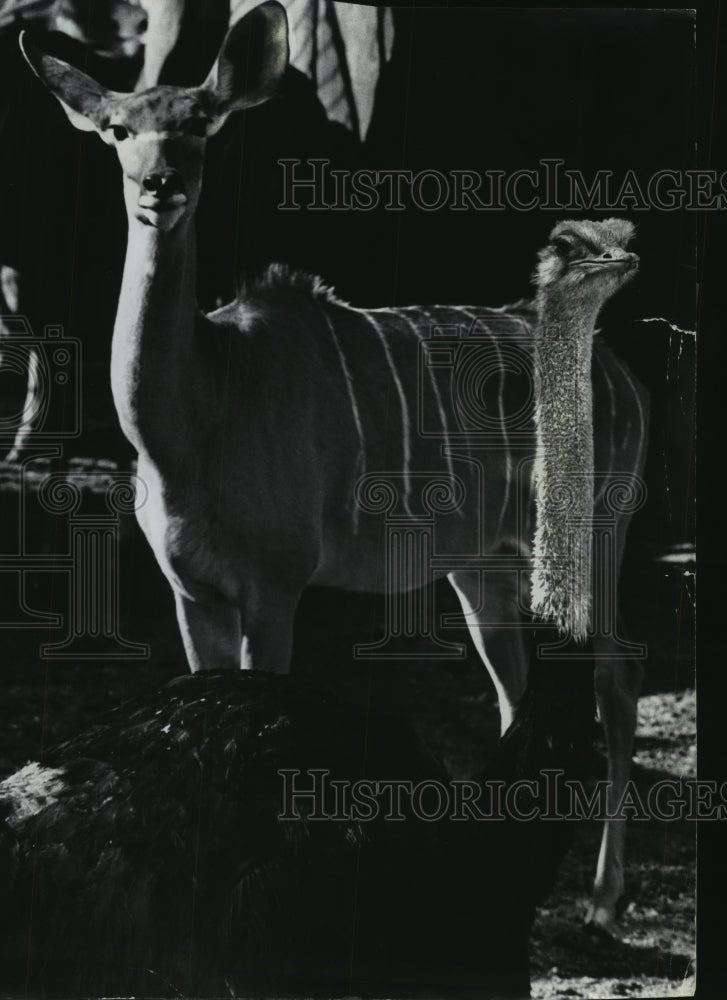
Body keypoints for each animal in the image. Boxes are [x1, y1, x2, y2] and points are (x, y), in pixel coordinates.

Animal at [19, 1, 648, 936]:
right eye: (117, 129)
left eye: (199, 123)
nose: (158, 186)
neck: (199, 415)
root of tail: (623, 374)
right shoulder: (191, 591)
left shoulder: (275, 584)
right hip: (484, 567)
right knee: (515, 688)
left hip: (599, 535)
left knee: (615, 683)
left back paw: (603, 902)